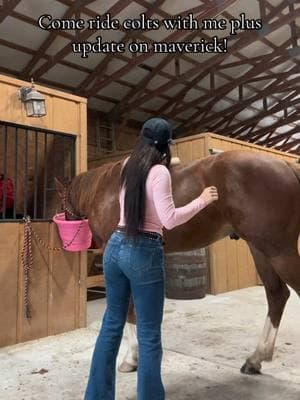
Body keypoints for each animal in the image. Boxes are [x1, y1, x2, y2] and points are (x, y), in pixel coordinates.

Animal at [55, 150, 298, 376]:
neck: (106, 190)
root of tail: (285, 165)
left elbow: (130, 307)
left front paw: (131, 358)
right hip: (260, 249)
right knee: (276, 295)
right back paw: (256, 359)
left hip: (278, 251)